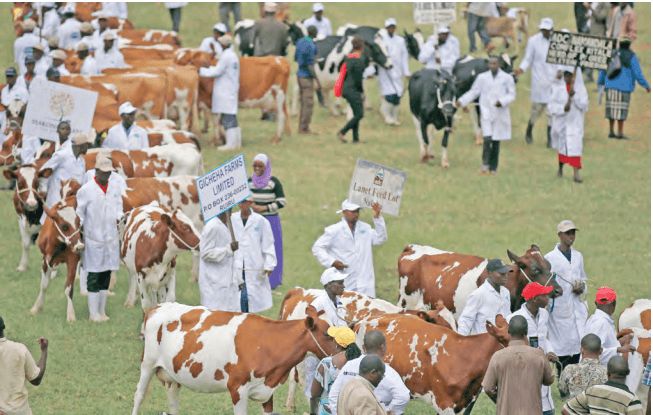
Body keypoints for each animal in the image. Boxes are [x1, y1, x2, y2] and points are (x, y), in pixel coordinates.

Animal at [121, 202, 200, 334]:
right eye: (184, 227)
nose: (201, 242)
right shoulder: (141, 278)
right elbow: (146, 304)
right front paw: (144, 330)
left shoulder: (170, 276)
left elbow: (167, 301)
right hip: (133, 272)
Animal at [130, 304, 338, 414]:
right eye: (326, 334)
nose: (343, 350)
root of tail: (157, 307)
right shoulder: (237, 388)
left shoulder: (267, 391)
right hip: (147, 364)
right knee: (138, 395)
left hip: (174, 375)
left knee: (173, 401)